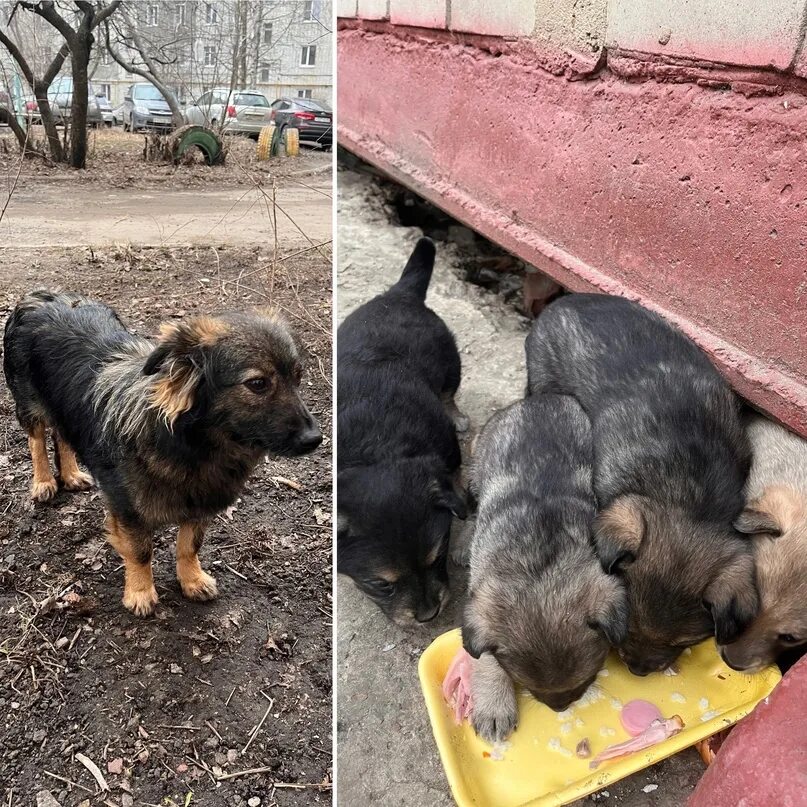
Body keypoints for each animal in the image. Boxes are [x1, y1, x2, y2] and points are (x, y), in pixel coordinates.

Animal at [6, 294, 324, 616]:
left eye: (298, 378)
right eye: (257, 384)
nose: (315, 439)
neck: (194, 445)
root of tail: (38, 297)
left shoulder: (201, 502)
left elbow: (189, 545)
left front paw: (192, 579)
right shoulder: (128, 508)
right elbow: (140, 551)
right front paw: (140, 592)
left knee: (62, 435)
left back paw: (71, 475)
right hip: (30, 405)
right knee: (36, 440)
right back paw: (44, 482)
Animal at [338, 237, 470, 628]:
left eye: (437, 558)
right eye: (380, 585)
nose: (428, 616)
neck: (376, 452)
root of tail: (401, 293)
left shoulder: (447, 450)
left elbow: (454, 478)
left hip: (450, 361)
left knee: (448, 392)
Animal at [460, 394, 632, 740]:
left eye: (588, 678)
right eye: (527, 685)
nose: (560, 707)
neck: (539, 566)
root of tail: (538, 398)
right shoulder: (480, 600)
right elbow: (485, 658)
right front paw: (494, 703)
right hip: (475, 473)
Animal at [528, 296, 760, 676]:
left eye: (682, 643)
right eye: (628, 624)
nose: (638, 670)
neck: (689, 496)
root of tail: (562, 301)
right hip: (543, 380)